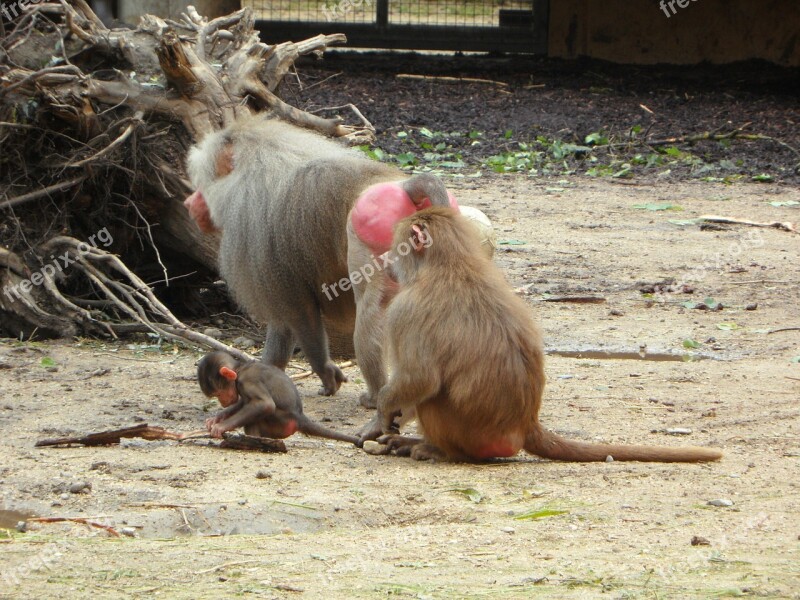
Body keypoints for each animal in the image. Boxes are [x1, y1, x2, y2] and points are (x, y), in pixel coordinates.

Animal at [197, 350, 356, 442]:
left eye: (218, 393)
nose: (222, 403)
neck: (240, 369)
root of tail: (300, 417)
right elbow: (243, 402)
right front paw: (217, 418)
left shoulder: (246, 380)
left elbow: (264, 404)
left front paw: (220, 426)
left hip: (281, 422)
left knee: (257, 415)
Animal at [360, 207, 720, 464]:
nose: (387, 263)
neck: (451, 263)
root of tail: (523, 425)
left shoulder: (405, 309)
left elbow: (420, 379)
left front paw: (382, 414)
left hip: (469, 434)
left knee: (433, 398)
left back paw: (439, 450)